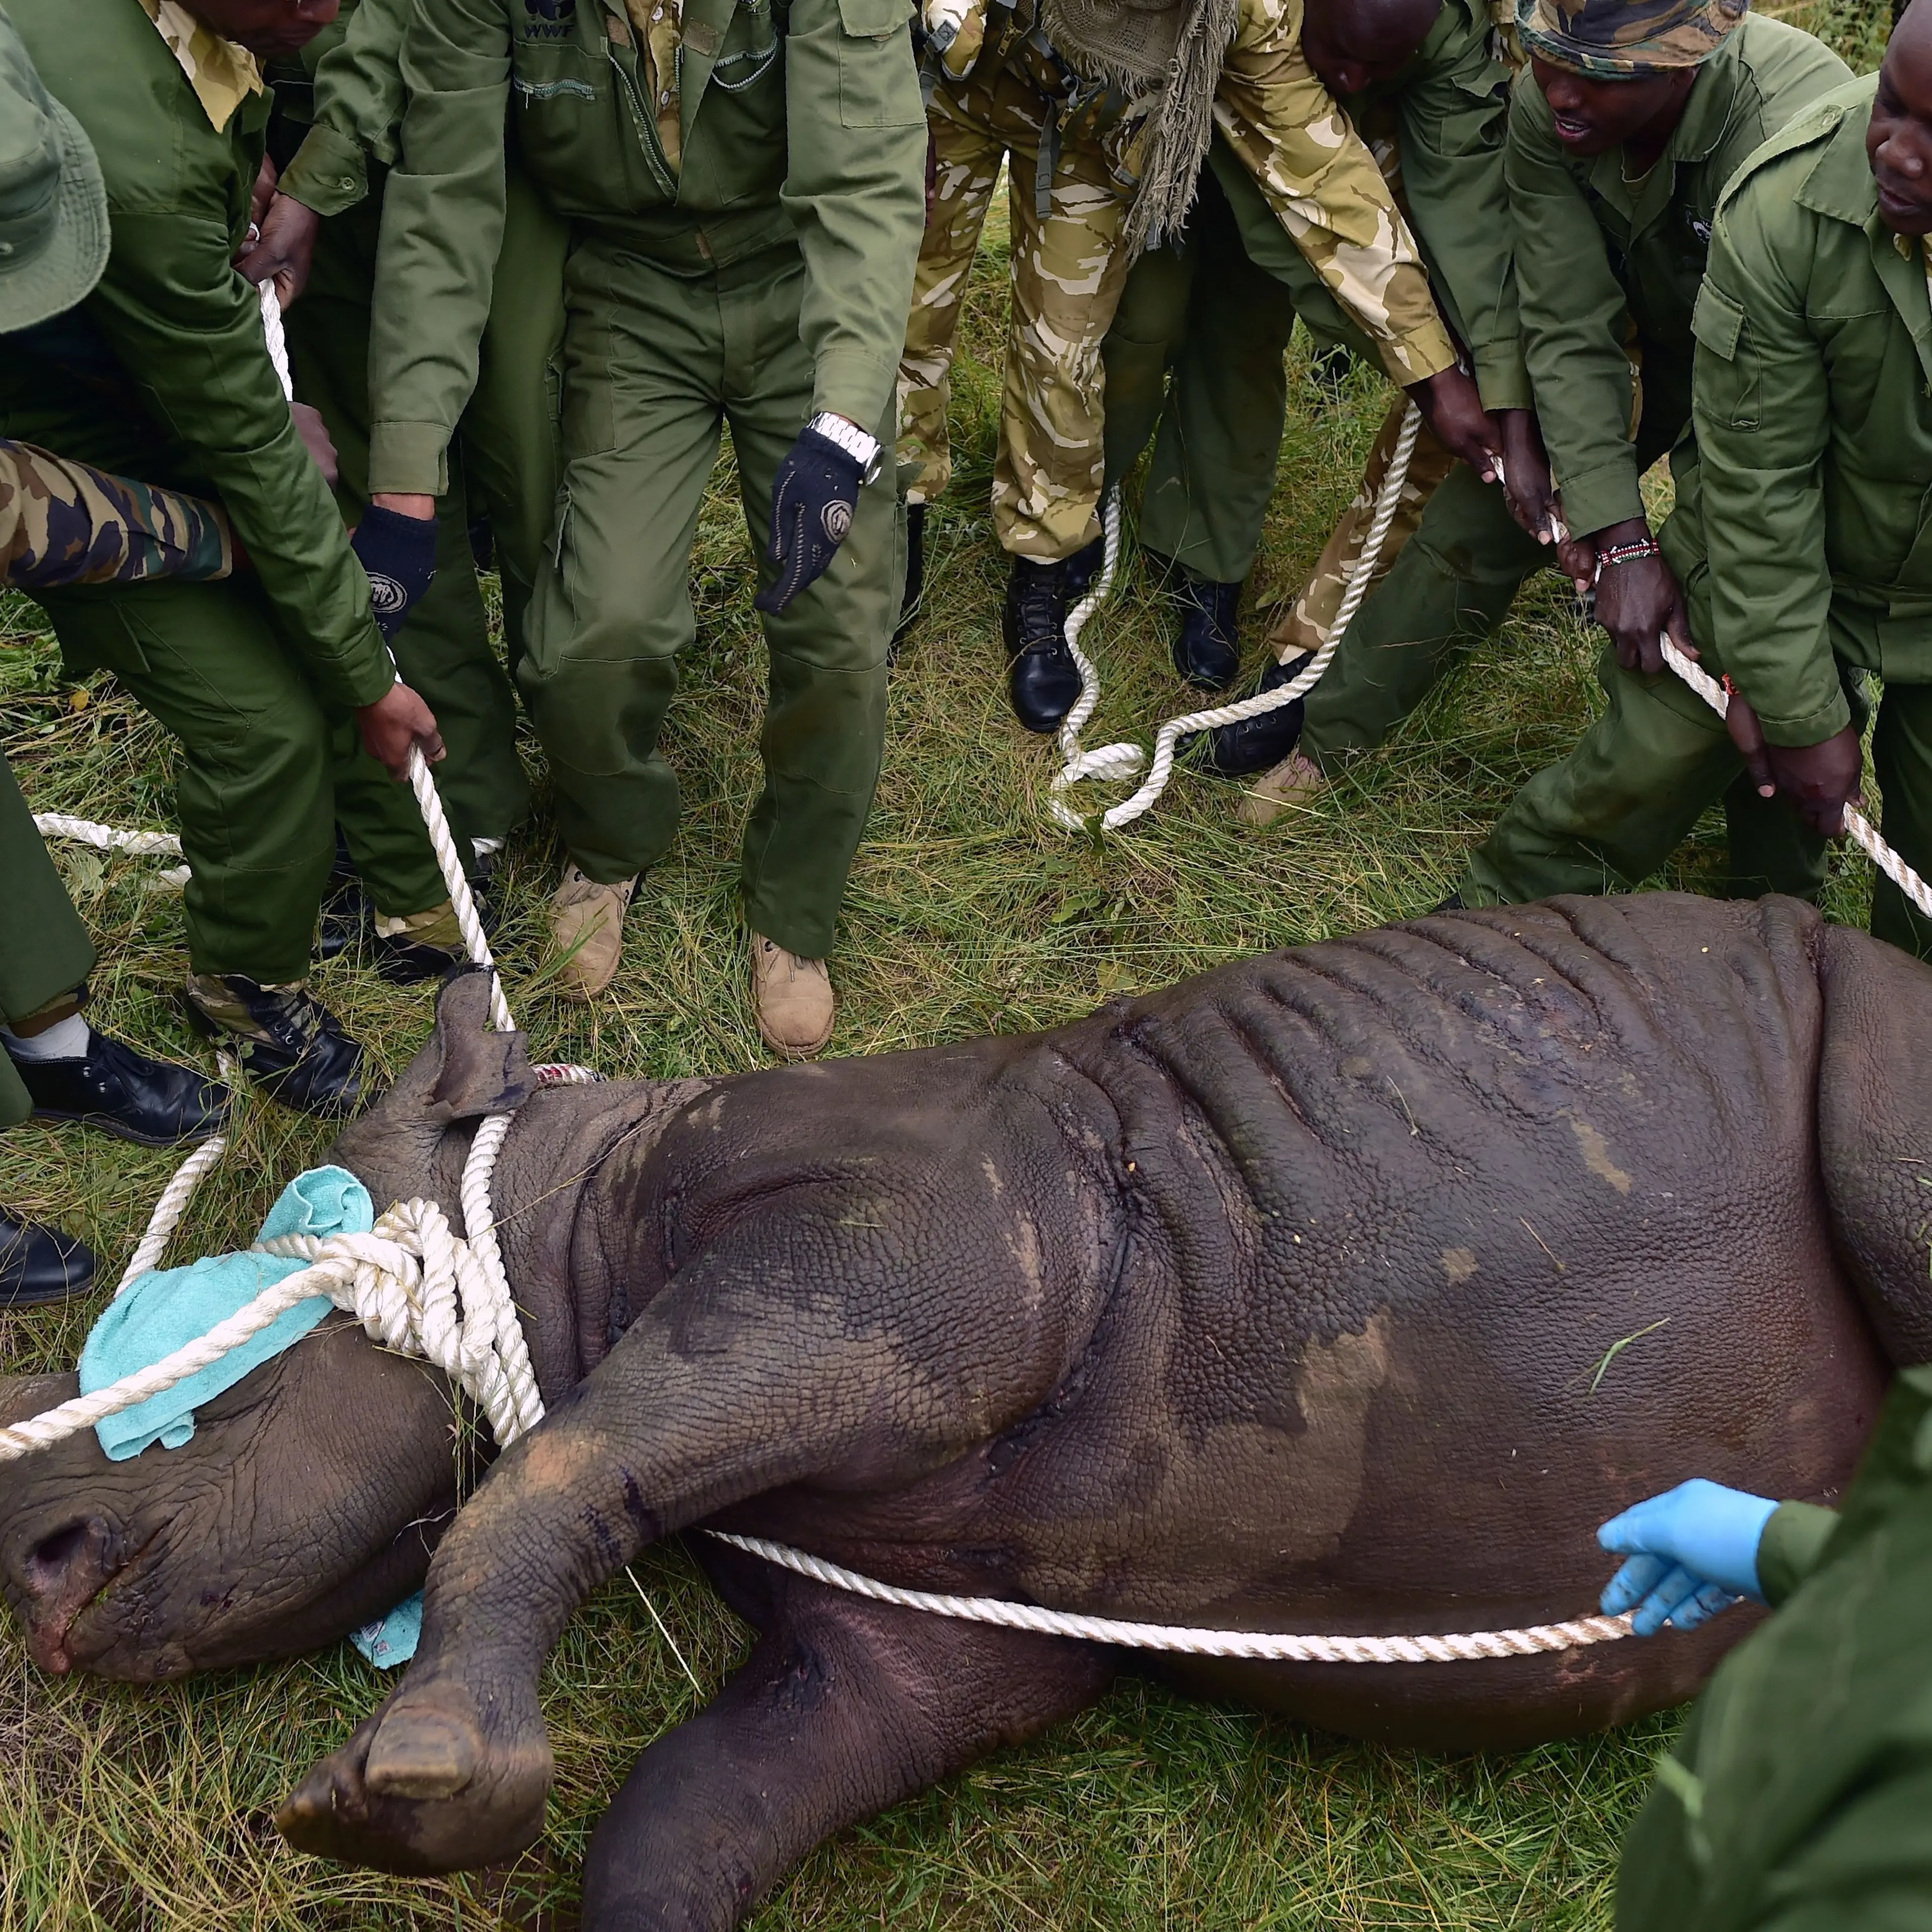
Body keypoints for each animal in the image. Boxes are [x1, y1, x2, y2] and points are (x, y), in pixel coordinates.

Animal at [0, 892, 1923, 1929]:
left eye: (220, 1346)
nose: (35, 1562)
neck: (560, 1215)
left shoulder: (934, 1255)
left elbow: (550, 1469)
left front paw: (396, 1790)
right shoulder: (918, 1636)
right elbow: (686, 1810)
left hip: (1868, 1030)